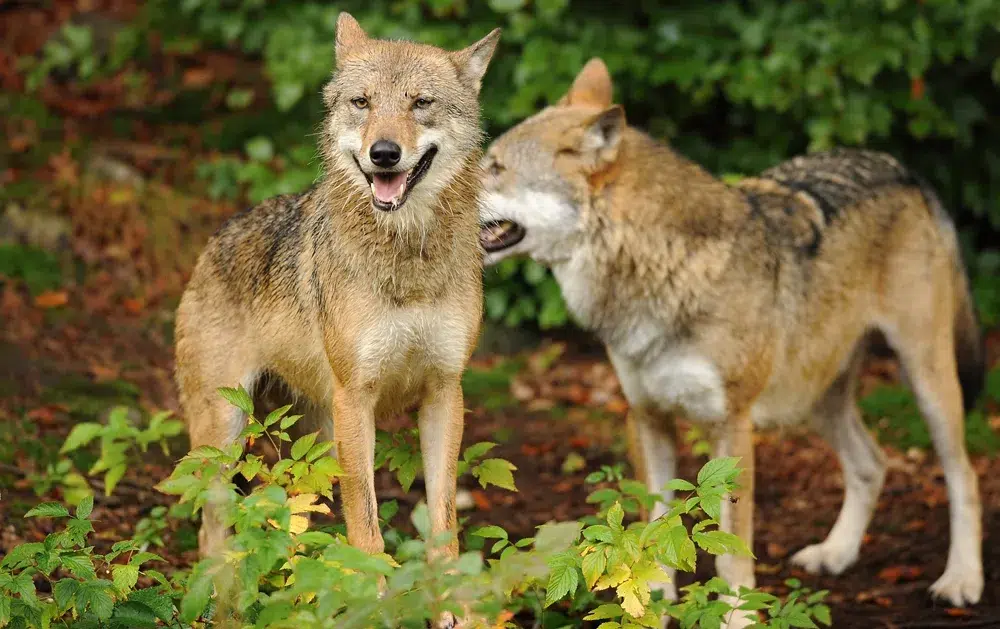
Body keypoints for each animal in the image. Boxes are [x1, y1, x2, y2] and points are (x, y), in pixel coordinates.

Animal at [175, 11, 500, 591]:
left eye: (420, 102)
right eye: (362, 102)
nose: (384, 153)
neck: (406, 260)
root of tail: (215, 239)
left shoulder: (445, 393)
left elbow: (444, 532)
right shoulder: (357, 398)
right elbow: (367, 535)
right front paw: (375, 601)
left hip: (314, 445)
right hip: (228, 434)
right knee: (213, 535)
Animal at [479, 58, 985, 627]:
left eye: (494, 167)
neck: (658, 269)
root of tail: (904, 170)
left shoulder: (733, 426)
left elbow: (730, 550)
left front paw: (737, 616)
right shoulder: (646, 416)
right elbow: (653, 526)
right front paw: (652, 604)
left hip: (925, 378)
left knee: (964, 477)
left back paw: (961, 580)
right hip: (813, 397)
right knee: (871, 465)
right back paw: (836, 553)